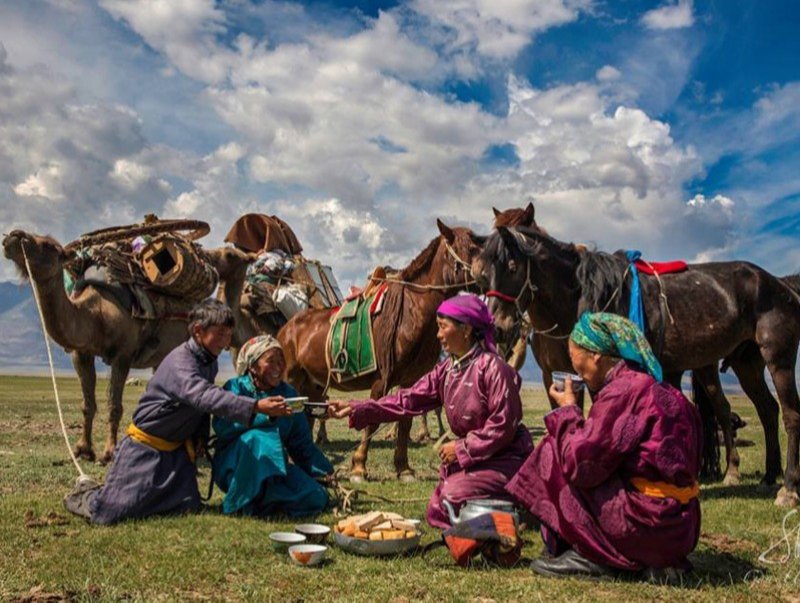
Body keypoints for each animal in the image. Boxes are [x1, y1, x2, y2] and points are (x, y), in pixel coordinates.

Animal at [278, 221, 484, 482]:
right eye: (469, 249)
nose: (487, 274)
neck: (411, 313)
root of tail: (286, 329)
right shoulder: (381, 380)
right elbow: (372, 420)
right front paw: (358, 468)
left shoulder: (410, 380)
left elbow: (405, 421)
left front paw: (403, 468)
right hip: (291, 379)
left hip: (312, 385)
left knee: (306, 418)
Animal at [472, 224, 800, 508]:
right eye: (483, 275)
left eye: (512, 267)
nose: (498, 328)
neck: (586, 296)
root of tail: (780, 284)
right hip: (747, 365)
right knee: (766, 410)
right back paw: (767, 477)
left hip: (778, 358)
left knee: (789, 415)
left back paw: (788, 490)